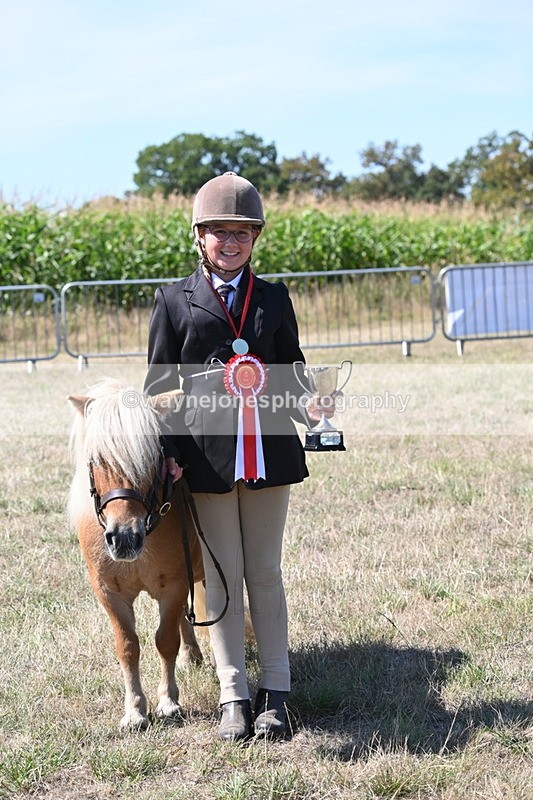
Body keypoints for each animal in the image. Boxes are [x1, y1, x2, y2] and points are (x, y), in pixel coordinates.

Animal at [68, 379, 207, 731]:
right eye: (97, 460)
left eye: (151, 458)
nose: (124, 537)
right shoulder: (109, 593)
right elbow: (128, 646)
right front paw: (134, 711)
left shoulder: (173, 585)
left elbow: (165, 641)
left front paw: (168, 701)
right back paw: (191, 657)